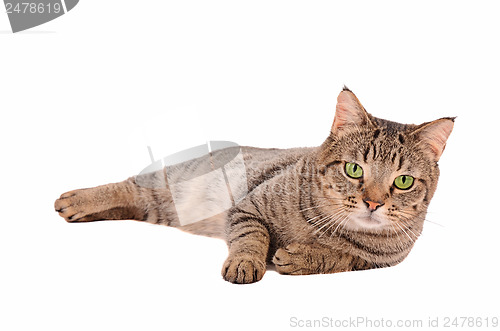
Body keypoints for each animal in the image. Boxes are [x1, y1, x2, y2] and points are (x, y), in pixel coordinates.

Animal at [53, 88, 454, 286]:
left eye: (403, 181)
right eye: (355, 170)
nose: (373, 202)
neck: (330, 227)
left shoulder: (377, 262)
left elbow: (341, 259)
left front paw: (303, 257)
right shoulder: (248, 207)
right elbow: (251, 237)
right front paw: (246, 262)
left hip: (159, 210)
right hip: (169, 185)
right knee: (129, 187)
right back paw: (76, 200)